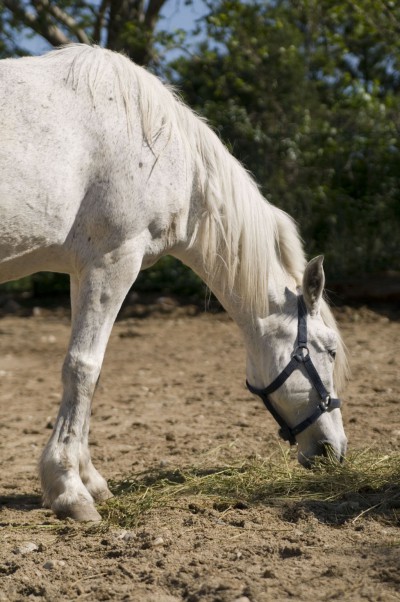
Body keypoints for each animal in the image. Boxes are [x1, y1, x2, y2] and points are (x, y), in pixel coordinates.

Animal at [0, 44, 346, 516]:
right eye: (329, 350)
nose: (336, 450)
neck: (157, 143)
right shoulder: (114, 260)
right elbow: (83, 367)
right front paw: (69, 489)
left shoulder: (83, 270)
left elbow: (91, 374)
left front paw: (91, 481)